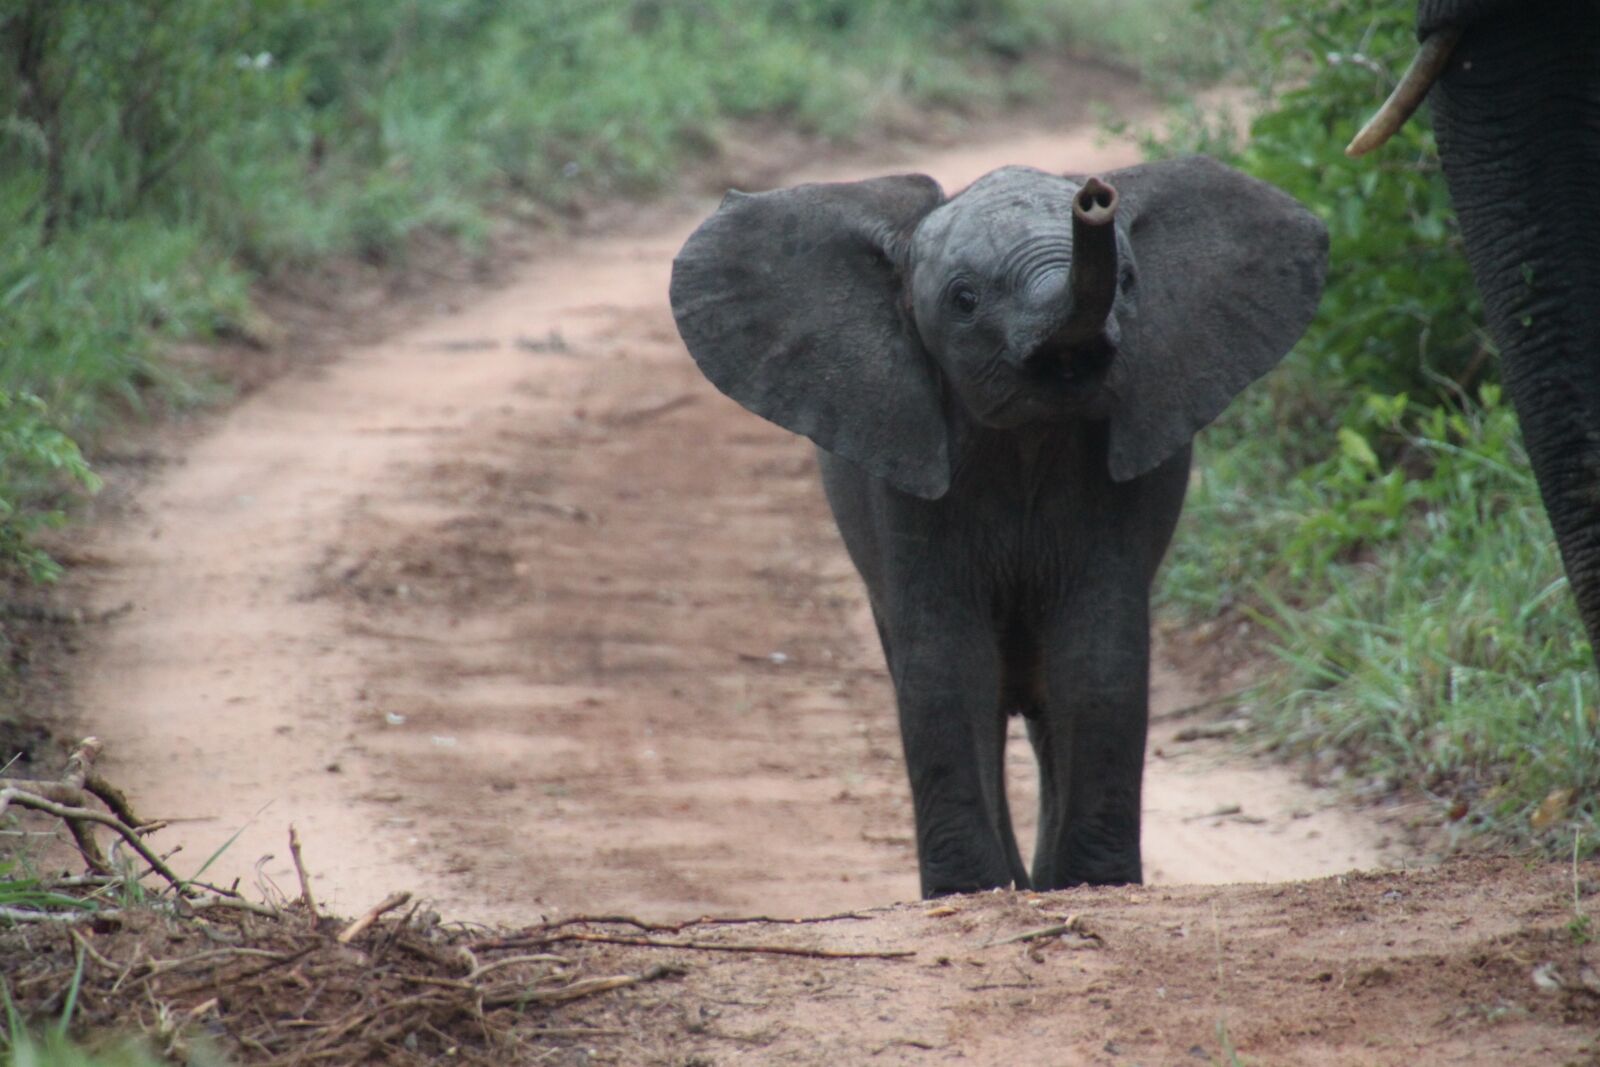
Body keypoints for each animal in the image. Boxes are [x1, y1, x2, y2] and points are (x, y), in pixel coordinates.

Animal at [669, 158, 1327, 896]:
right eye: (964, 300)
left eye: (1130, 283)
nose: (1094, 197)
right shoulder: (904, 467)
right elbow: (946, 662)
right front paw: (968, 892)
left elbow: (1098, 653)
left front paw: (1096, 886)